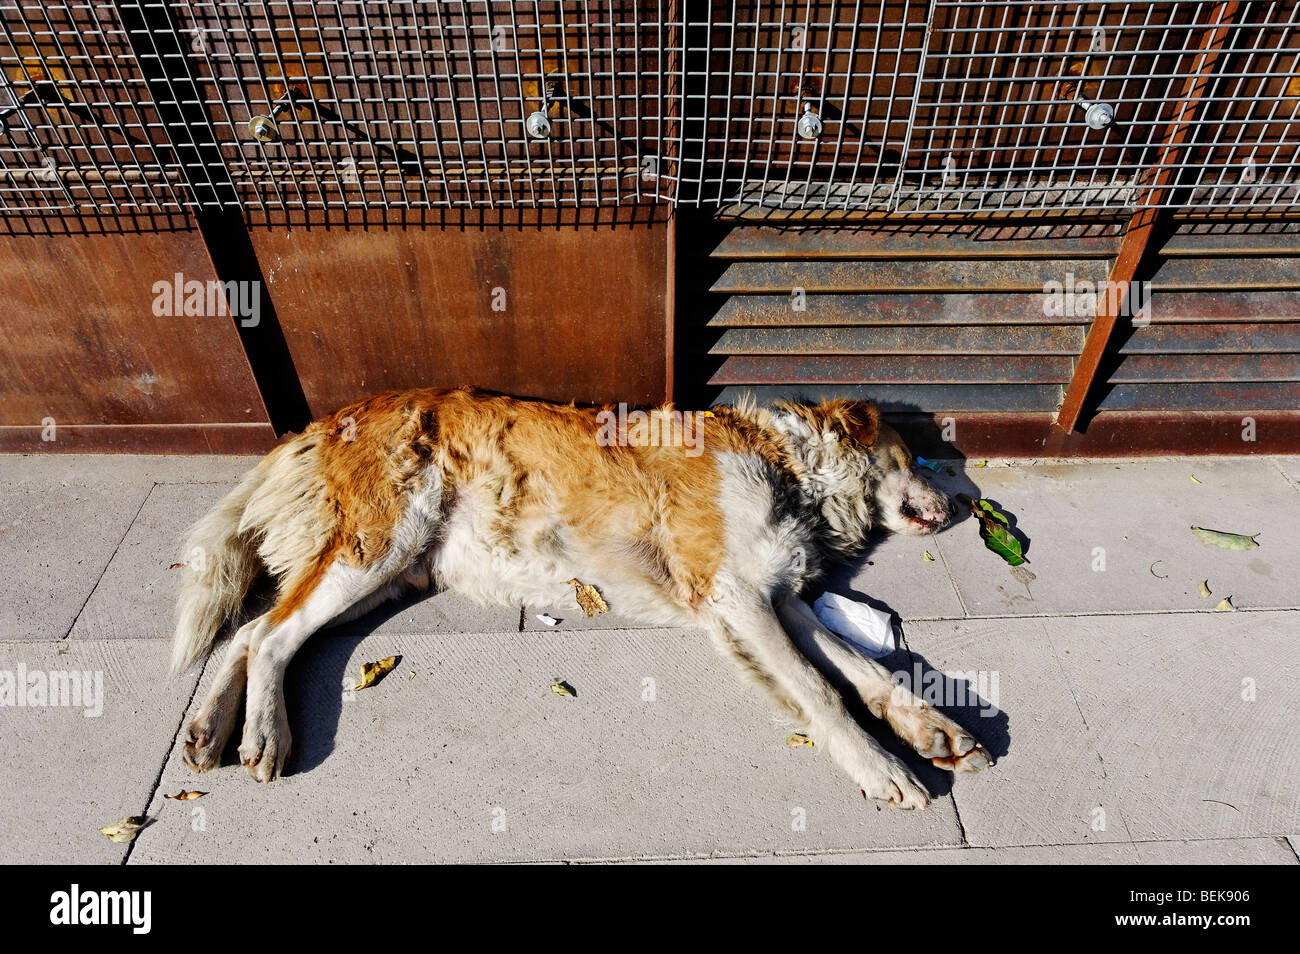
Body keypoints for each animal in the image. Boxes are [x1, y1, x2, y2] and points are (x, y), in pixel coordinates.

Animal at [170, 392, 982, 811]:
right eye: (915, 455)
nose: (964, 504)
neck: (785, 462)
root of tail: (325, 419)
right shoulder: (740, 597)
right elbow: (821, 690)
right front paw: (884, 769)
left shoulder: (775, 597)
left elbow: (861, 670)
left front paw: (932, 727)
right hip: (380, 544)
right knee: (269, 637)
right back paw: (262, 736)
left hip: (388, 573)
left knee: (250, 631)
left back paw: (208, 730)